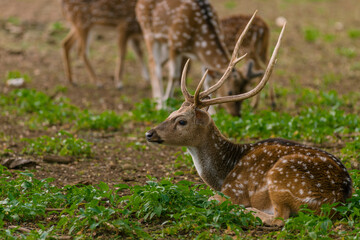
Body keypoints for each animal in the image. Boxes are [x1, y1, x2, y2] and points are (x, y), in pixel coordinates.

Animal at [145, 21, 352, 226]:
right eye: (171, 113)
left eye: (182, 121)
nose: (149, 133)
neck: (223, 174)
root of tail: (338, 200)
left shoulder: (233, 191)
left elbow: (209, 199)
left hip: (282, 177)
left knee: (279, 218)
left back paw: (246, 211)